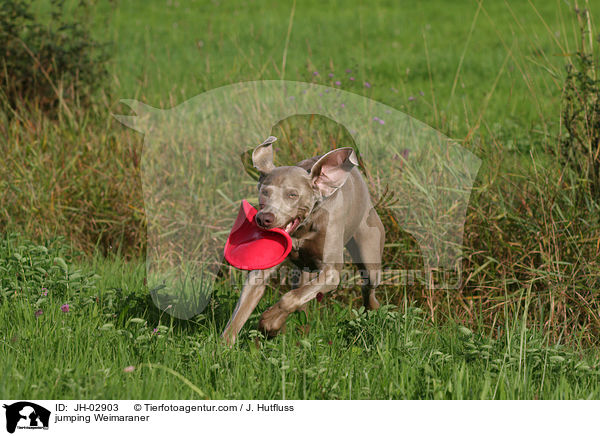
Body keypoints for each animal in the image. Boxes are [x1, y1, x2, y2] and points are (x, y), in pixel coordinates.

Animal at [220, 136, 384, 344]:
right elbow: (242, 308)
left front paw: (268, 321)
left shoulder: (331, 273)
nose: (264, 218)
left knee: (368, 287)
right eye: (265, 192)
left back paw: (373, 311)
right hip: (302, 271)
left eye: (293, 195)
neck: (302, 229)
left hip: (370, 254)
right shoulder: (260, 272)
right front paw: (225, 344)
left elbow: (290, 298)